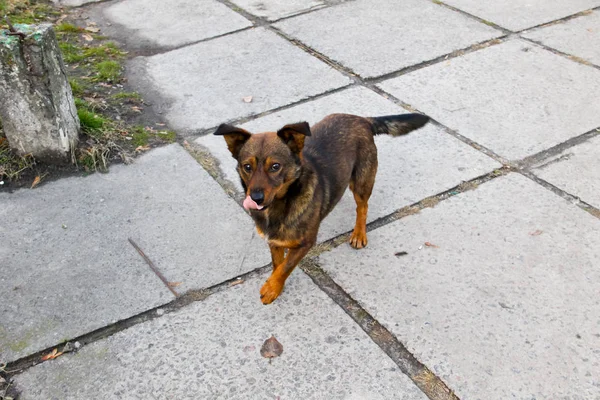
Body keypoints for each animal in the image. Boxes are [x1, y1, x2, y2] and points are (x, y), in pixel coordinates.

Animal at [216, 111, 432, 304]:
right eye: (247, 167)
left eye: (275, 167)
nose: (255, 198)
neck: (281, 203)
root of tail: (362, 119)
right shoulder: (275, 241)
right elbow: (278, 264)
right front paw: (275, 286)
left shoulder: (305, 243)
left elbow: (285, 267)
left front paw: (271, 287)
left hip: (361, 182)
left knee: (362, 207)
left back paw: (359, 234)